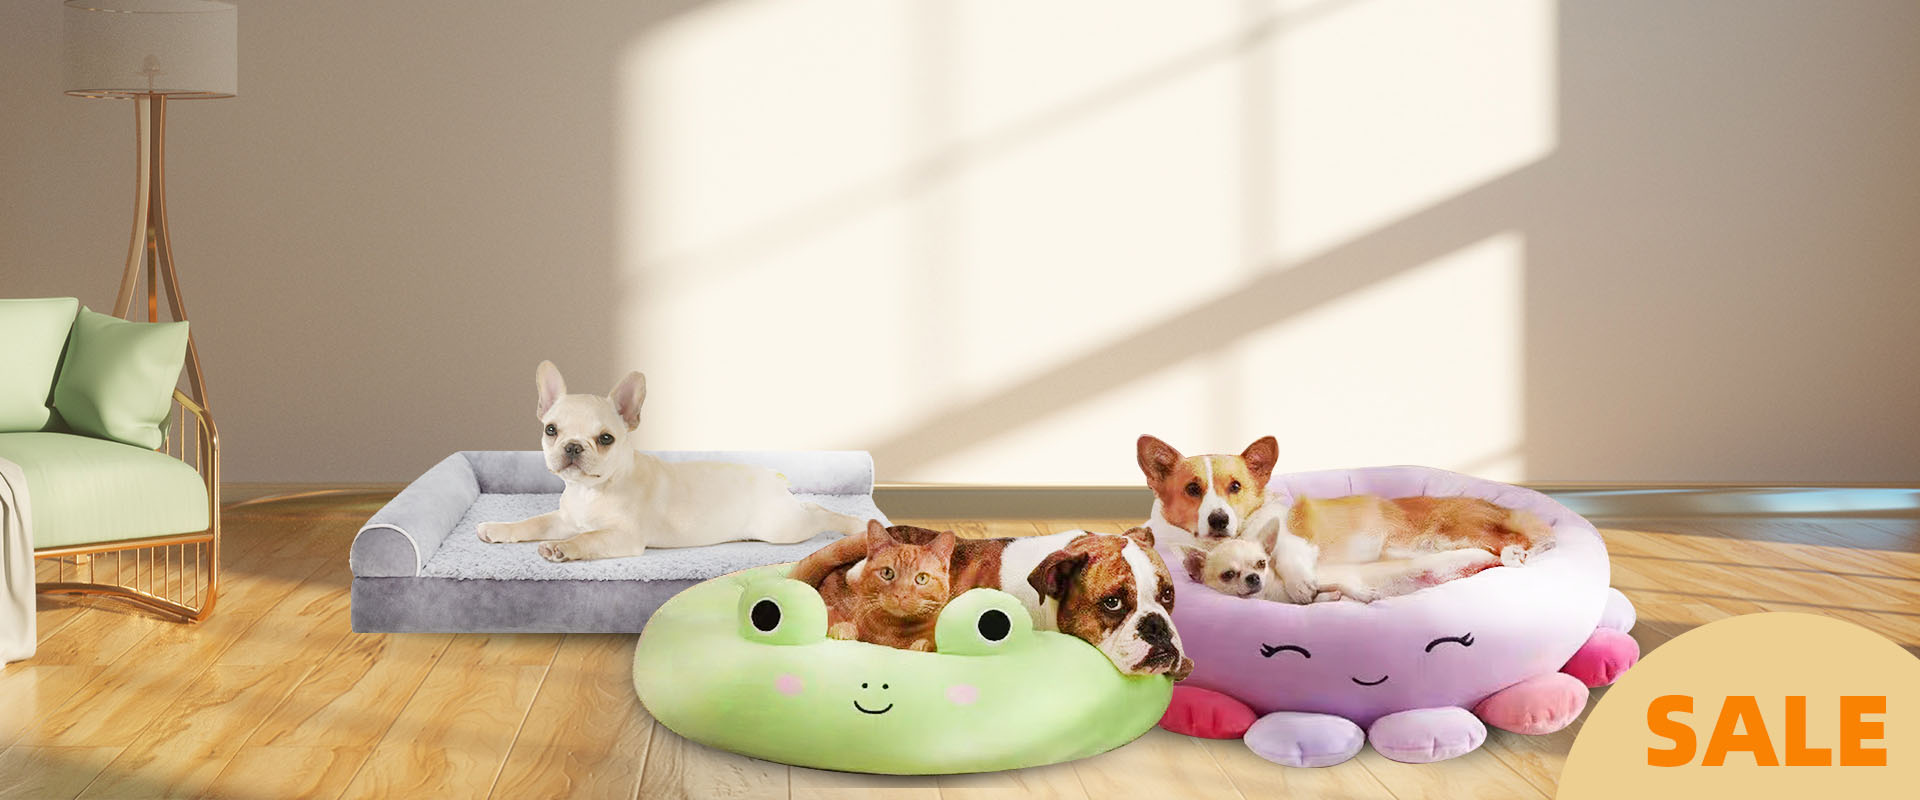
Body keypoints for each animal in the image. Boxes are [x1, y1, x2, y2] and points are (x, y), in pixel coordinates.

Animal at [477, 361, 866, 562]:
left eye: (606, 439)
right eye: (551, 430)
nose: (572, 447)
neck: (591, 490)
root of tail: (773, 478)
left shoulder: (622, 538)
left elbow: (587, 540)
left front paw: (562, 548)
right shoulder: (564, 519)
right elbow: (533, 522)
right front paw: (498, 529)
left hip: (781, 529)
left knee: (819, 513)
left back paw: (854, 526)